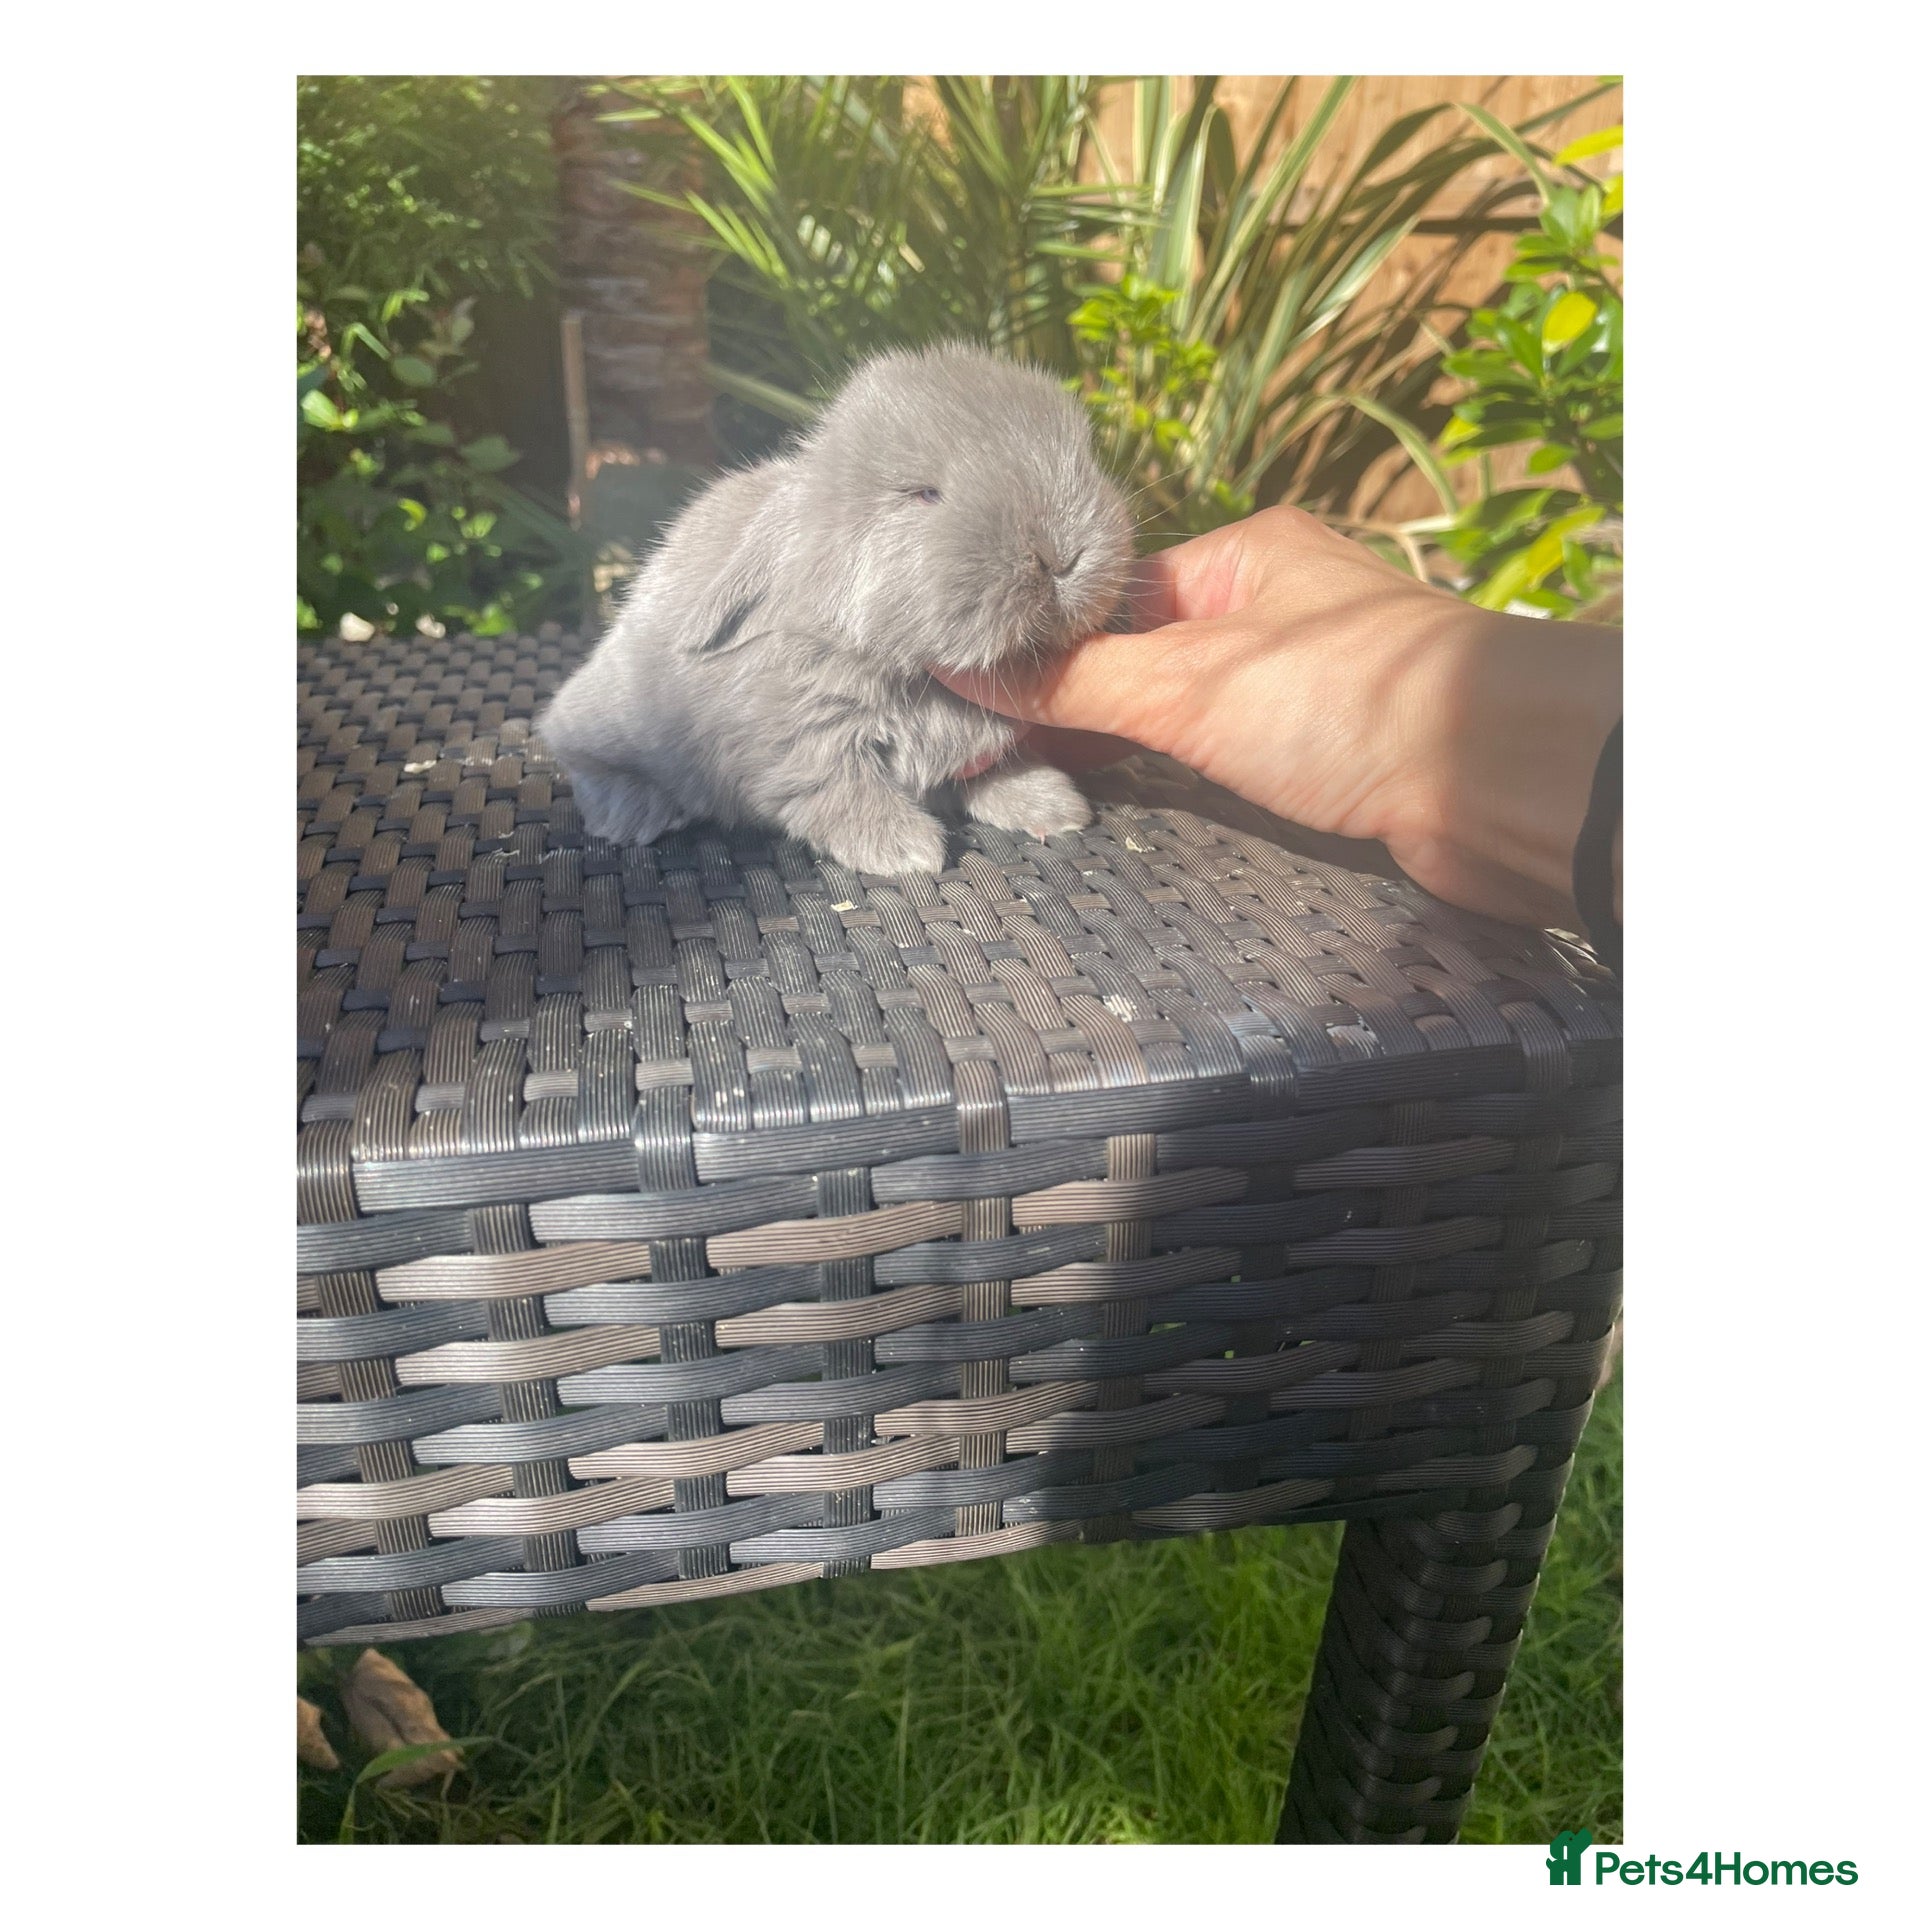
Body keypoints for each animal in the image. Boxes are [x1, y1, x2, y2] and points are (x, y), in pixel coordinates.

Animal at [537, 342, 1134, 876]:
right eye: (924, 495)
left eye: (1085, 459)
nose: (1062, 556)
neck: (912, 677)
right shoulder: (798, 742)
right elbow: (839, 790)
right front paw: (906, 850)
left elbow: (993, 770)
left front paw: (1053, 805)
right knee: (577, 754)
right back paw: (636, 815)